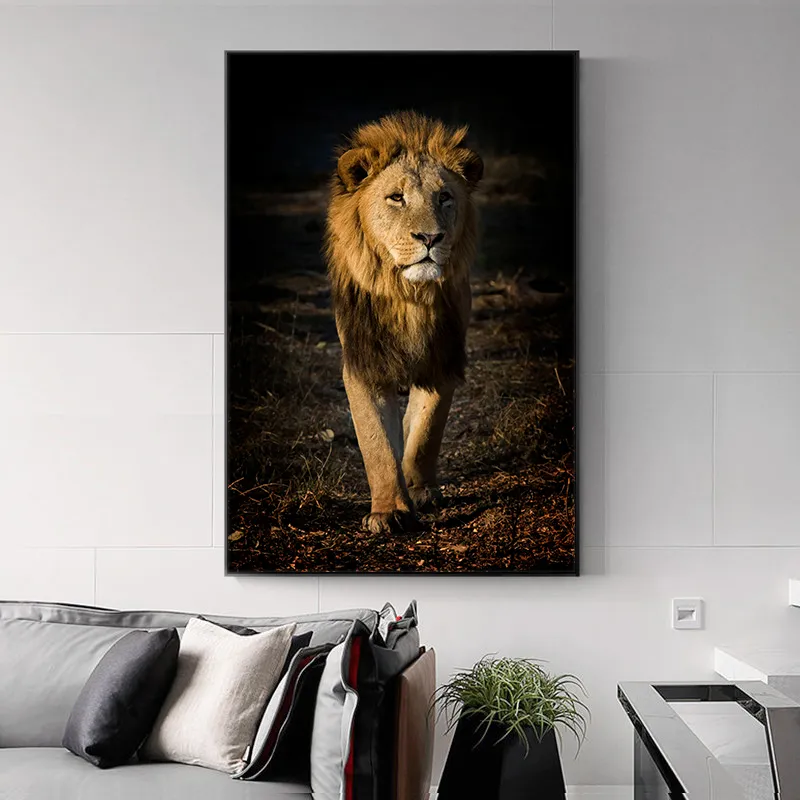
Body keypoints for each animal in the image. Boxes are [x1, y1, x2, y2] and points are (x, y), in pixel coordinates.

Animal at [324, 111, 483, 534]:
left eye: (444, 197)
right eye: (397, 197)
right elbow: (377, 443)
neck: (409, 296)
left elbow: (428, 429)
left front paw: (420, 489)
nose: (430, 237)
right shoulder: (363, 362)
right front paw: (389, 510)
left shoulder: (444, 356)